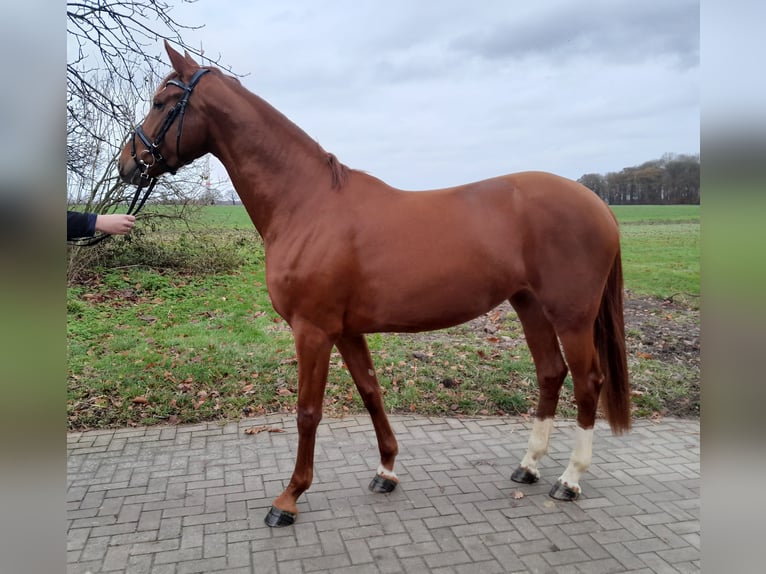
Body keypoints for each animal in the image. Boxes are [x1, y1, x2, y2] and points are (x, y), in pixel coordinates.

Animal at [121, 44, 632, 532]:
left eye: (161, 102)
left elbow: (308, 412)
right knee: (550, 374)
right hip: (529, 306)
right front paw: (386, 471)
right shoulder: (346, 330)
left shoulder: (312, 330)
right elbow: (371, 391)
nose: (128, 164)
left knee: (588, 382)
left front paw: (288, 499)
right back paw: (528, 467)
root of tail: (598, 205)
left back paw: (569, 480)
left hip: (572, 315)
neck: (306, 203)